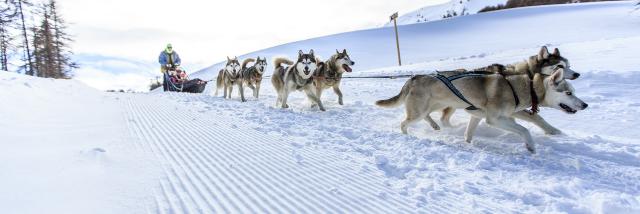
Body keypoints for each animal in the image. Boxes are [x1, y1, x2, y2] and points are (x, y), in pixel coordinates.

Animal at [376, 67, 592, 153]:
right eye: (568, 93)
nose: (585, 105)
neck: (520, 87)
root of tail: (413, 77)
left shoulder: (480, 117)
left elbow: (469, 134)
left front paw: (468, 143)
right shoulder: (495, 119)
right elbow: (524, 129)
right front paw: (530, 146)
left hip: (435, 105)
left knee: (428, 116)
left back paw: (436, 126)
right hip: (421, 110)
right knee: (404, 123)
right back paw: (408, 135)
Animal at [440, 46, 580, 128]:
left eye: (569, 66)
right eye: (560, 66)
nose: (577, 74)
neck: (527, 73)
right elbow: (535, 117)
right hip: (452, 105)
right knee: (443, 119)